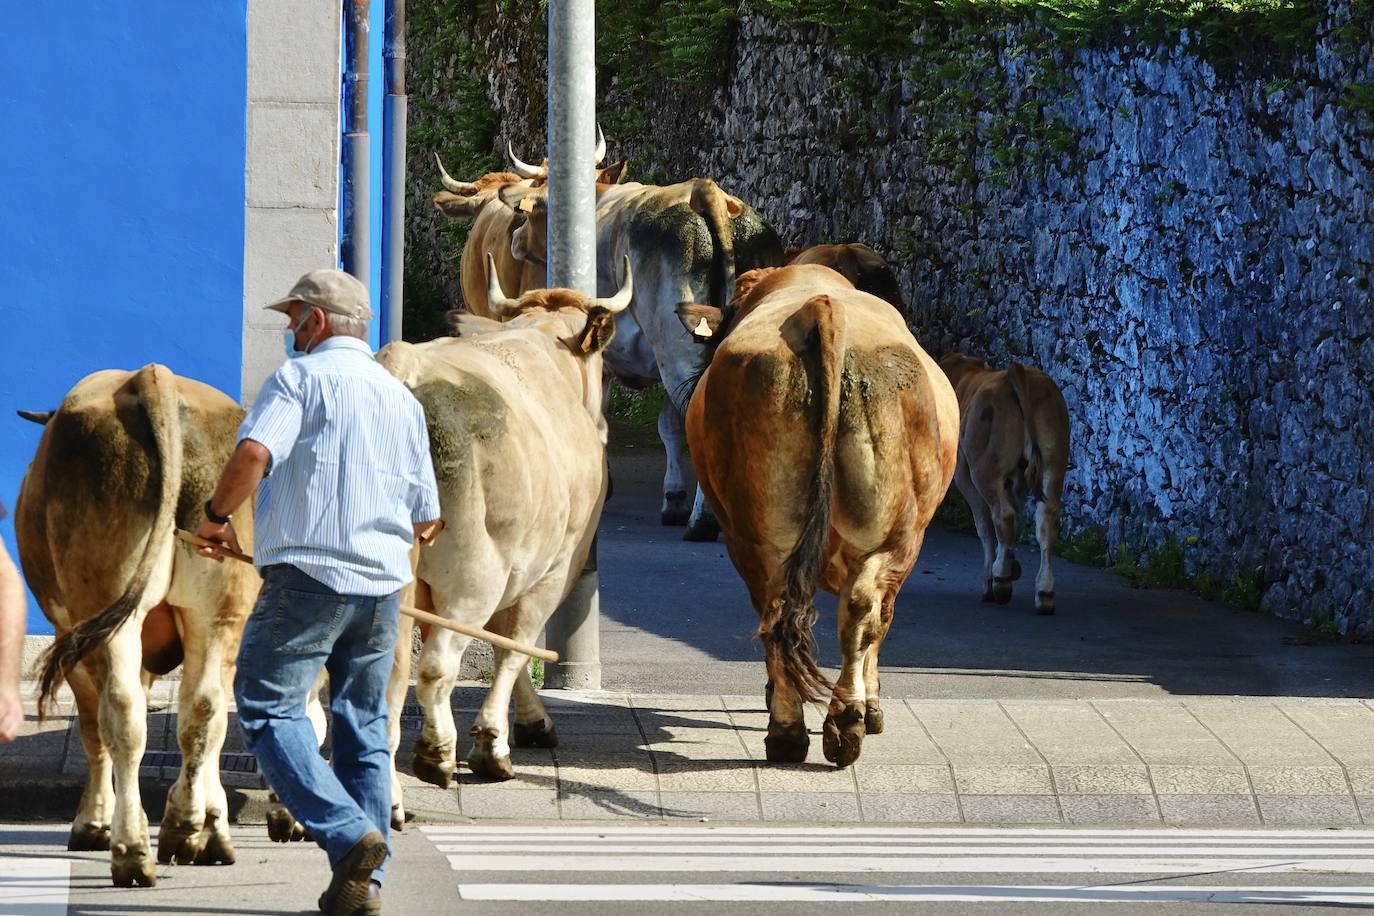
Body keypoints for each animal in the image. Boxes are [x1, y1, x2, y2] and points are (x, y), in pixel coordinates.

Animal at [14, 365, 258, 889]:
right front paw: (211, 823)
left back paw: (131, 849)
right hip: (218, 610)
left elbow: (92, 729)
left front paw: (92, 823)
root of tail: (150, 376)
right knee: (204, 711)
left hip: (104, 615)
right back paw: (187, 828)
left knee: (121, 715)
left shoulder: (71, 636)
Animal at [376, 256, 632, 807]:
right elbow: (515, 645)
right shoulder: (553, 568)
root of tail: (403, 368)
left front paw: (531, 722)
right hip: (473, 575)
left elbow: (498, 641)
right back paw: (436, 755)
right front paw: (494, 743)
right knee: (434, 668)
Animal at [676, 263, 956, 769]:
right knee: (856, 613)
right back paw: (827, 728)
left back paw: (809, 729)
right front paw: (874, 707)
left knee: (790, 612)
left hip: (763, 533)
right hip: (890, 536)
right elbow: (883, 623)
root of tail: (820, 307)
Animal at [939, 357, 1066, 615]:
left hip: (984, 470)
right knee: (1046, 523)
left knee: (1002, 517)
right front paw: (1011, 563)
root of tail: (1016, 373)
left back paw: (999, 581)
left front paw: (994, 577)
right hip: (1054, 463)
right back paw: (1044, 592)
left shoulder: (964, 475)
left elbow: (984, 526)